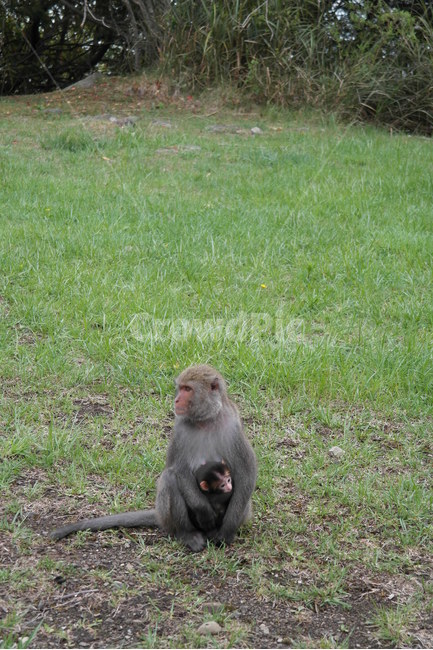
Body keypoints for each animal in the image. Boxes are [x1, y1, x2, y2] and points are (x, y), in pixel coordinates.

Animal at [50, 365, 257, 552]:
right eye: (181, 387)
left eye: (187, 389)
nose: (176, 399)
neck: (205, 420)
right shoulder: (180, 428)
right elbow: (177, 469)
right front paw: (204, 511)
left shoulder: (233, 426)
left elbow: (245, 473)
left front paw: (227, 531)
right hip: (169, 517)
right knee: (169, 479)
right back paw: (188, 534)